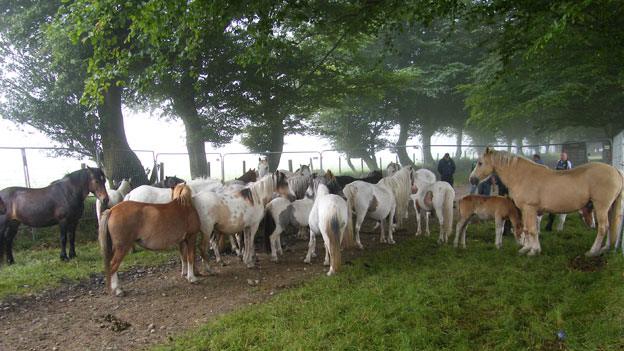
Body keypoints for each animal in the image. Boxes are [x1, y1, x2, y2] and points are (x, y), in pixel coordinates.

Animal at [470, 147, 620, 258]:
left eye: (480, 163)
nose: (472, 179)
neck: (522, 176)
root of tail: (616, 171)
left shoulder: (530, 208)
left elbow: (532, 230)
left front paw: (534, 251)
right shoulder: (526, 210)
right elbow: (527, 229)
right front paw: (526, 248)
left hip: (601, 207)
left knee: (603, 228)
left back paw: (593, 251)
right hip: (609, 208)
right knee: (611, 226)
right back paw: (605, 248)